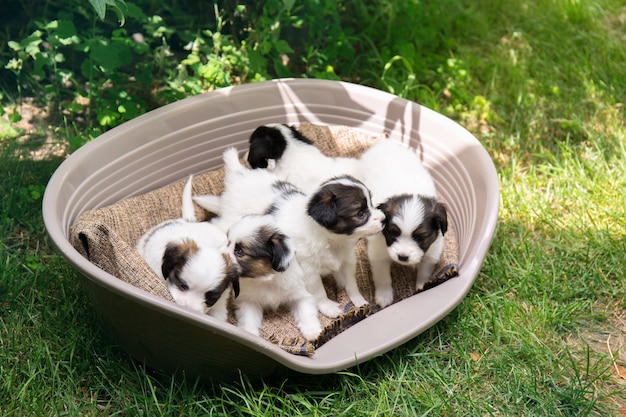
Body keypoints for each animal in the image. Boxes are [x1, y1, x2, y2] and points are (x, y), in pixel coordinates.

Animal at [195, 148, 382, 314]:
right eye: (360, 213)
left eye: (372, 203)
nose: (383, 219)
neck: (331, 240)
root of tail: (238, 174)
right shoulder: (308, 270)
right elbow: (319, 291)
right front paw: (328, 307)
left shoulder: (347, 260)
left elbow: (351, 284)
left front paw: (359, 301)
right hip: (229, 219)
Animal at [356, 141, 448, 308]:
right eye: (393, 233)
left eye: (420, 237)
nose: (403, 257)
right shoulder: (378, 252)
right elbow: (382, 277)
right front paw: (384, 296)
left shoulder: (432, 250)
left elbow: (425, 271)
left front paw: (421, 287)